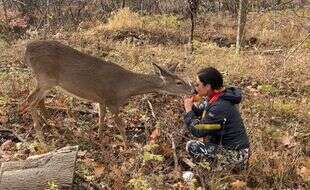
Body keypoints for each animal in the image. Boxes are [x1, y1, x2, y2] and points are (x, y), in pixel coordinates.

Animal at [20, 40, 193, 142]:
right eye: (179, 82)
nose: (192, 90)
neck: (126, 87)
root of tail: (27, 50)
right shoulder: (111, 101)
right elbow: (120, 125)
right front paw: (127, 146)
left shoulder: (101, 99)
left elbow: (101, 118)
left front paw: (100, 136)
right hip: (46, 78)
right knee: (30, 99)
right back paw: (40, 136)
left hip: (44, 81)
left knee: (39, 100)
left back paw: (49, 124)